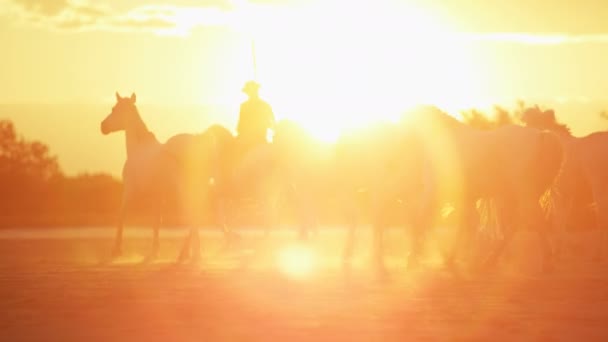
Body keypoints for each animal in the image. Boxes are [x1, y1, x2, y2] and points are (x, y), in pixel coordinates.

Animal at [101, 91, 224, 262]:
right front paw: (154, 251)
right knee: (196, 216)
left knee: (194, 215)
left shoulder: (129, 191)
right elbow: (156, 221)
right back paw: (187, 254)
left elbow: (121, 215)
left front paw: (116, 250)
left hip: (186, 190)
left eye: (114, 109)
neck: (138, 150)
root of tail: (199, 141)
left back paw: (193, 255)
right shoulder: (158, 195)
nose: (103, 127)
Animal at [520, 107, 608, 260]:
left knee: (602, 218)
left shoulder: (559, 192)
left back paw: (597, 254)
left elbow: (558, 220)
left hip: (599, 188)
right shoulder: (566, 193)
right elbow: (562, 219)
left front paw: (557, 251)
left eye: (532, 123)